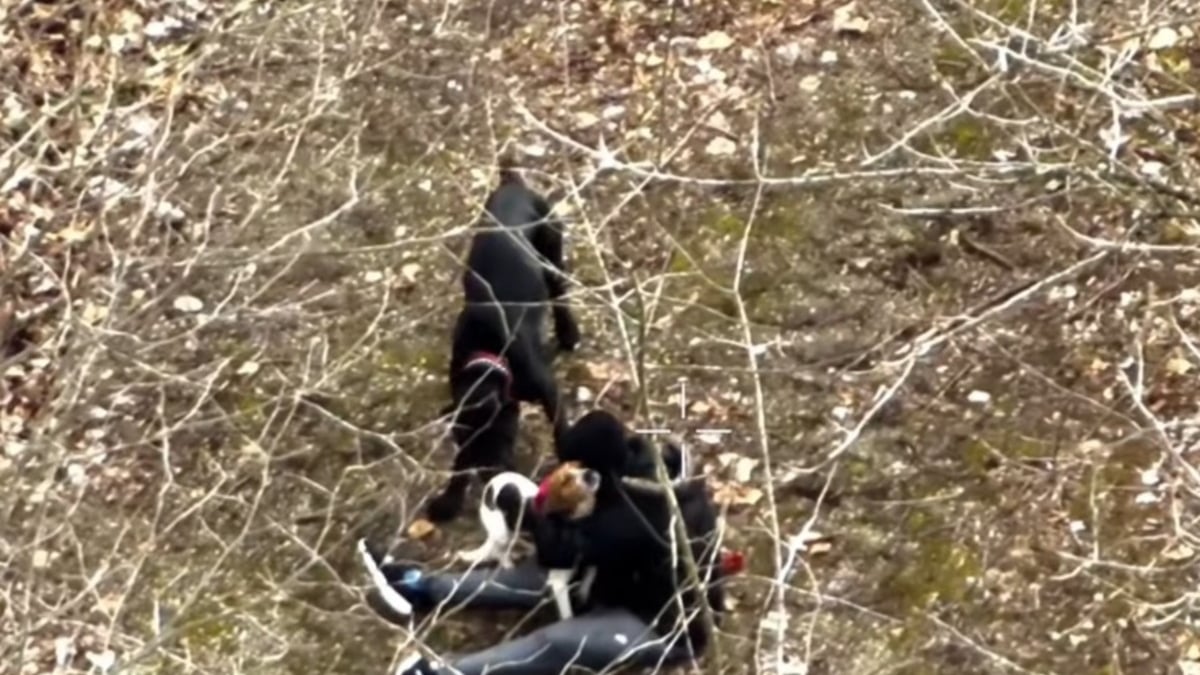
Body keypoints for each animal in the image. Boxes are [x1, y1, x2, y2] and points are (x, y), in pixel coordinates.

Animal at [427, 162, 580, 521]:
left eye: (499, 435)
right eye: (466, 442)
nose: (489, 472)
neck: (487, 357)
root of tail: (512, 183)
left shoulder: (549, 392)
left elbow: (560, 430)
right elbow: (457, 468)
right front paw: (448, 500)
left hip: (551, 254)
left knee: (559, 295)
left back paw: (569, 335)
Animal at [456, 458, 597, 619]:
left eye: (579, 466)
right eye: (566, 481)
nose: (589, 473)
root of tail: (490, 484)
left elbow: (591, 572)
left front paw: (583, 592)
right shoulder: (558, 583)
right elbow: (567, 615)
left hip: (514, 526)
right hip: (502, 533)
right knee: (499, 551)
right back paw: (508, 563)